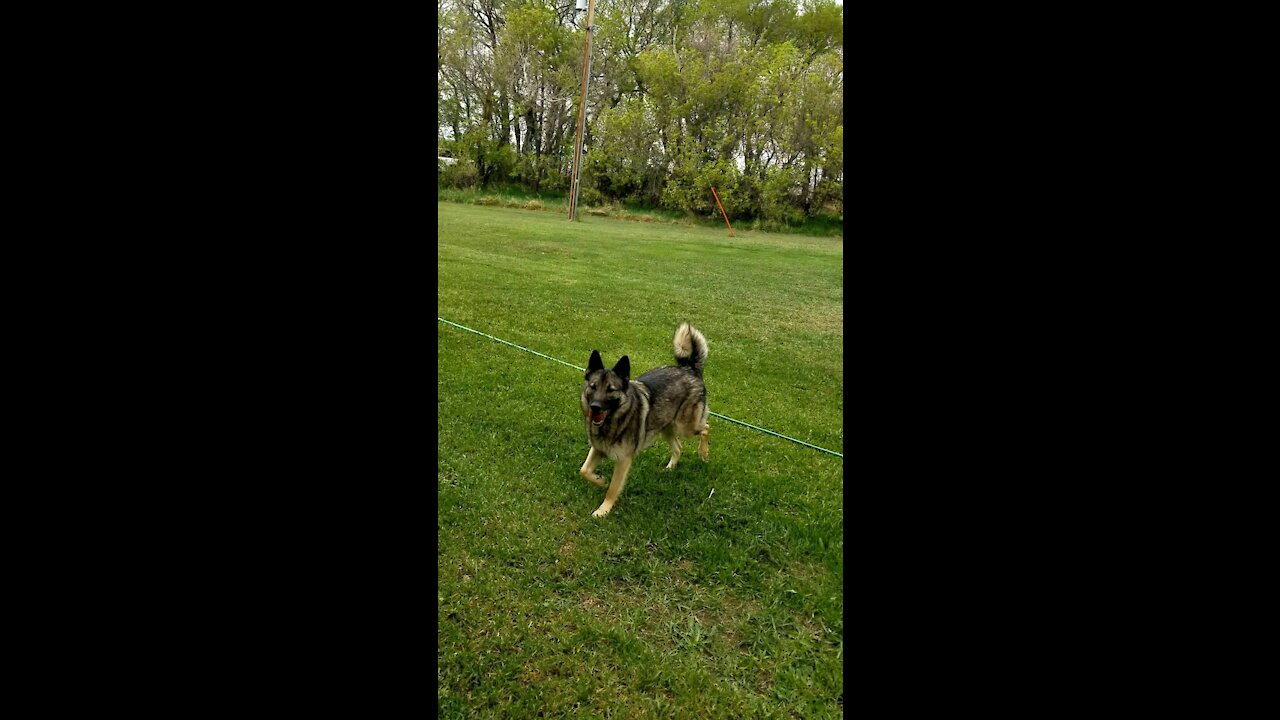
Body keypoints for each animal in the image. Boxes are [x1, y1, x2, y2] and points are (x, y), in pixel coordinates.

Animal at [578, 322, 711, 512]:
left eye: (611, 390)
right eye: (593, 386)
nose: (595, 407)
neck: (614, 421)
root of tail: (689, 368)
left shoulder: (623, 460)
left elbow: (612, 489)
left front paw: (603, 510)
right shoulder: (597, 449)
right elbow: (584, 471)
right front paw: (599, 480)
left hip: (685, 426)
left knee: (706, 428)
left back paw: (703, 453)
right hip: (666, 427)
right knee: (678, 447)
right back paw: (670, 467)